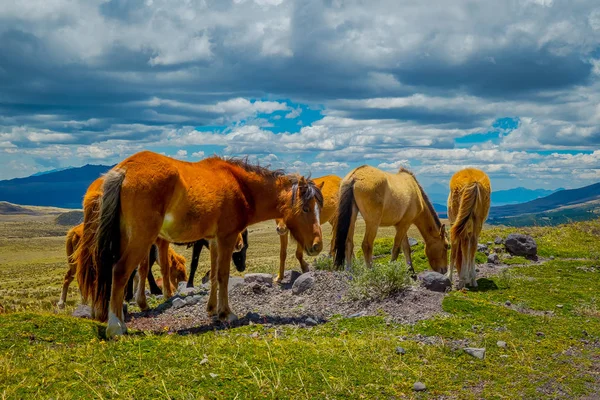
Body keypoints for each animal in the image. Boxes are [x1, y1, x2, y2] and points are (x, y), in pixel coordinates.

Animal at [84, 152, 324, 336]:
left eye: (318, 208)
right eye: (305, 208)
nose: (317, 245)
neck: (240, 186)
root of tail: (124, 170)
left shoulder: (214, 241)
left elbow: (215, 275)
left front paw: (212, 310)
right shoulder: (227, 238)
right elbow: (223, 275)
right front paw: (227, 313)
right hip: (141, 238)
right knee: (121, 271)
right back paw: (116, 327)